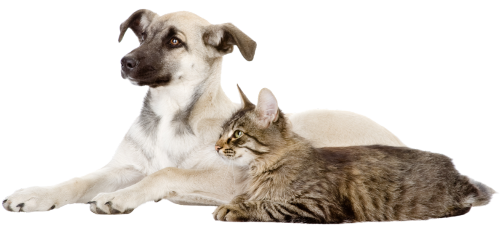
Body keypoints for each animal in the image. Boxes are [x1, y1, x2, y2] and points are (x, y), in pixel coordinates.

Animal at [0, 7, 406, 215]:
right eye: (141, 36)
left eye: (174, 41)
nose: (125, 62)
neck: (170, 115)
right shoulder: (125, 167)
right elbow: (79, 180)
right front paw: (37, 194)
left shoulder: (231, 178)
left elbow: (166, 172)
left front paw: (122, 198)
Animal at [211, 83, 496, 224]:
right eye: (221, 132)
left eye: (237, 134)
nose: (215, 146)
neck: (260, 169)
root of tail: (455, 170)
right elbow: (245, 196)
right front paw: (231, 202)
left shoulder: (317, 204)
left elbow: (268, 205)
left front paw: (232, 209)